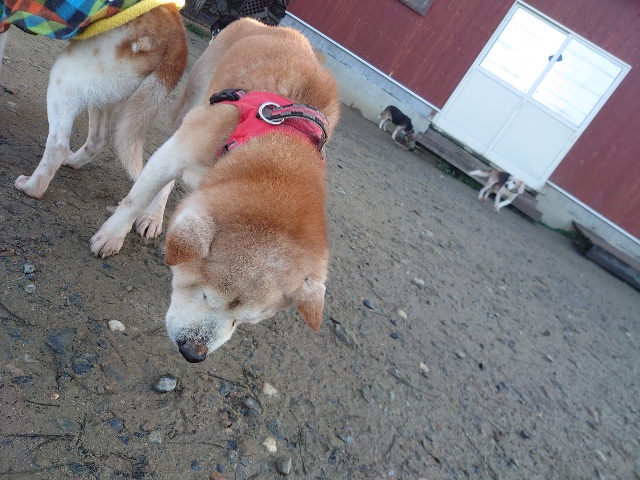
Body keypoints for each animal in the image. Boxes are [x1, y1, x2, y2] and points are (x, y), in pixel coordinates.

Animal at [1, 0, 187, 237]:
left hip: (67, 75)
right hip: (104, 94)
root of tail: (177, 36)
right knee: (101, 140)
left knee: (58, 145)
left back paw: (32, 186)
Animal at [89, 18, 341, 362]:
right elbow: (135, 200)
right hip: (191, 104)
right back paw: (154, 216)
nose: (193, 354)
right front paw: (111, 236)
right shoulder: (177, 151)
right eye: (205, 295)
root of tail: (262, 23)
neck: (278, 146)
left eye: (245, 320)